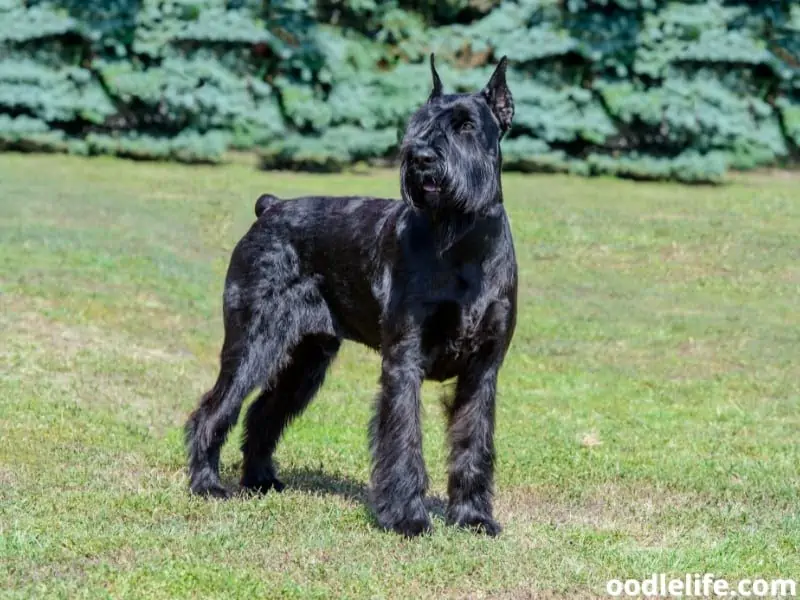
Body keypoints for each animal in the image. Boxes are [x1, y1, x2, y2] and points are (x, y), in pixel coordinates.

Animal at [184, 54, 516, 536]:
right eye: (417, 123)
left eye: (467, 125)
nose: (421, 157)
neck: (463, 245)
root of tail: (270, 207)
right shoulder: (404, 361)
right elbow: (403, 439)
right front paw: (408, 518)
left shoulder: (482, 370)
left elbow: (473, 443)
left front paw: (473, 517)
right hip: (252, 344)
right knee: (213, 410)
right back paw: (206, 484)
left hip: (307, 357)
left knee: (263, 412)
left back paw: (261, 481)